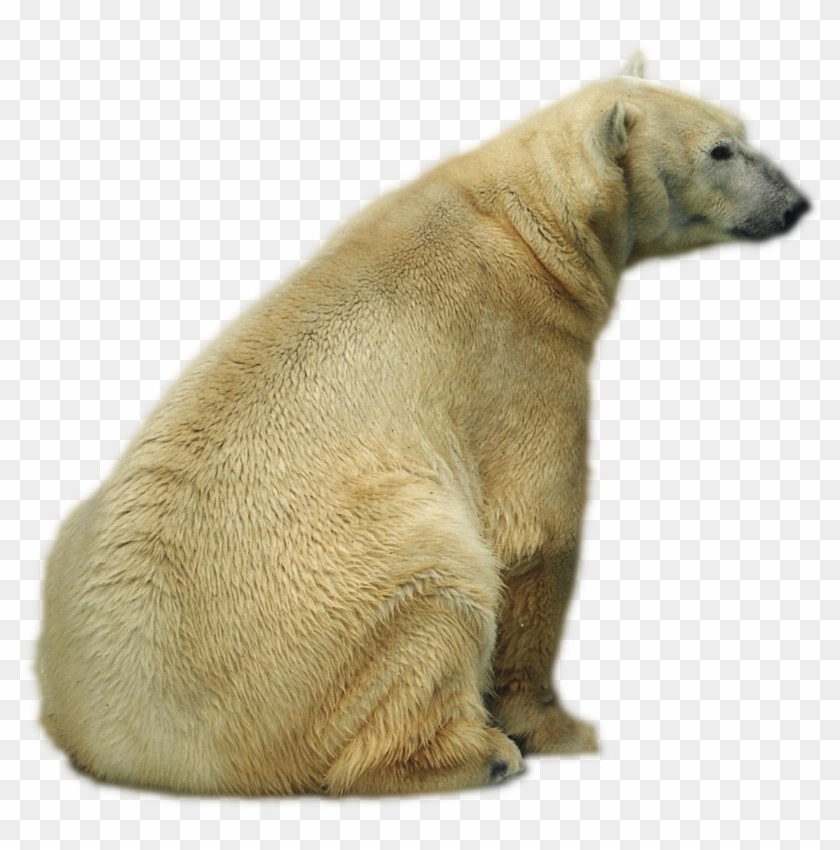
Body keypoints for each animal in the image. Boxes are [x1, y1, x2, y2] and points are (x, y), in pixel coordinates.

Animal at [37, 55, 809, 796]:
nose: (796, 203)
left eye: (742, 129)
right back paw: (479, 755)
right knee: (435, 591)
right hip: (346, 580)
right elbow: (535, 529)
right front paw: (560, 730)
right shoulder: (514, 354)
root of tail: (138, 746)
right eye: (720, 149)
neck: (529, 222)